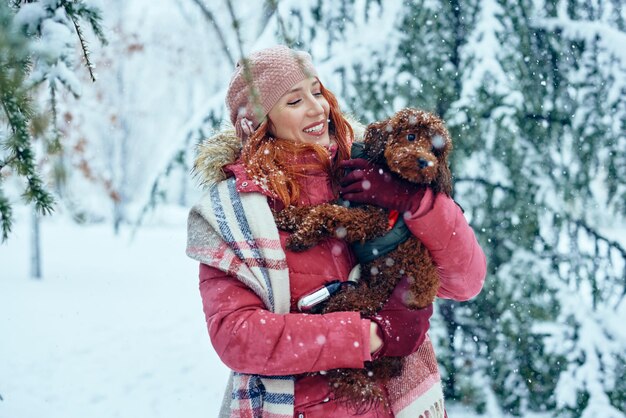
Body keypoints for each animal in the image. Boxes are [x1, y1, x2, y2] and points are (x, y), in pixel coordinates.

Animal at [272, 108, 448, 412]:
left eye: (436, 149)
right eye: (411, 136)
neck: (390, 178)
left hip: (365, 298)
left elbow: (329, 213)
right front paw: (290, 216)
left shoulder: (370, 220)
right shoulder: (349, 200)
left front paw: (303, 236)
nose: (426, 161)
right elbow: (322, 205)